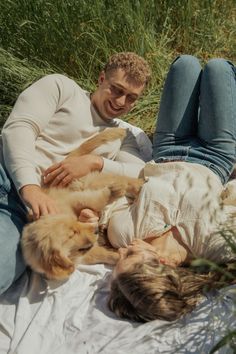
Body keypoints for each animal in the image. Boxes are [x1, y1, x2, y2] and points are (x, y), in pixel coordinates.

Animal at [21, 129, 144, 280]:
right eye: (72, 235)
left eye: (74, 224)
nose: (95, 230)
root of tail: (67, 160)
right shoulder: (84, 254)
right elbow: (103, 255)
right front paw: (122, 256)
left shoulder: (73, 199)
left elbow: (93, 200)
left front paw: (112, 192)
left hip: (86, 182)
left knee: (120, 178)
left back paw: (135, 185)